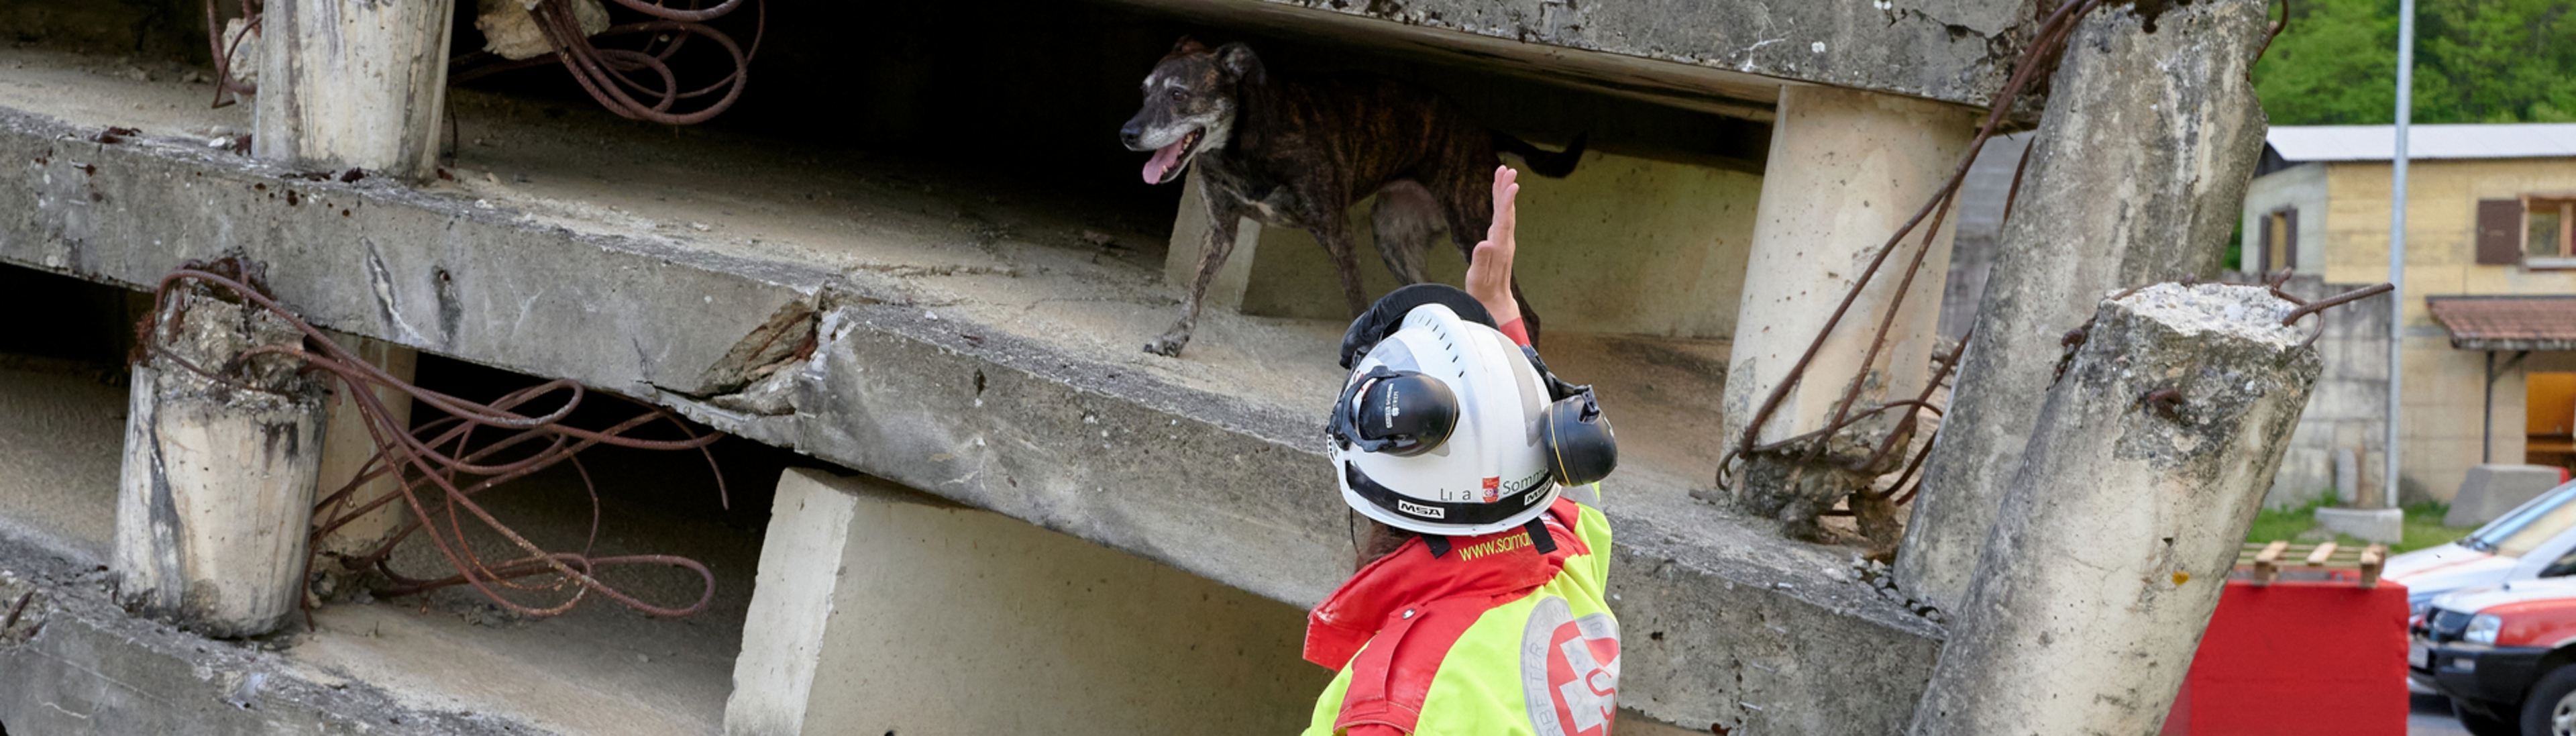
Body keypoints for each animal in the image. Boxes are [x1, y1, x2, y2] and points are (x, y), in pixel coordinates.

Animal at [1118, 37, 1576, 358]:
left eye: (1178, 94)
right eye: (1143, 91)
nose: (1127, 134)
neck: (1244, 144)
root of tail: (1481, 129)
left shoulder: (1336, 232)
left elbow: (1357, 302)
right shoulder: (1221, 229)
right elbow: (1194, 292)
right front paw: (1173, 340)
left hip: (1473, 228)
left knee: (1528, 314)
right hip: (1394, 239)